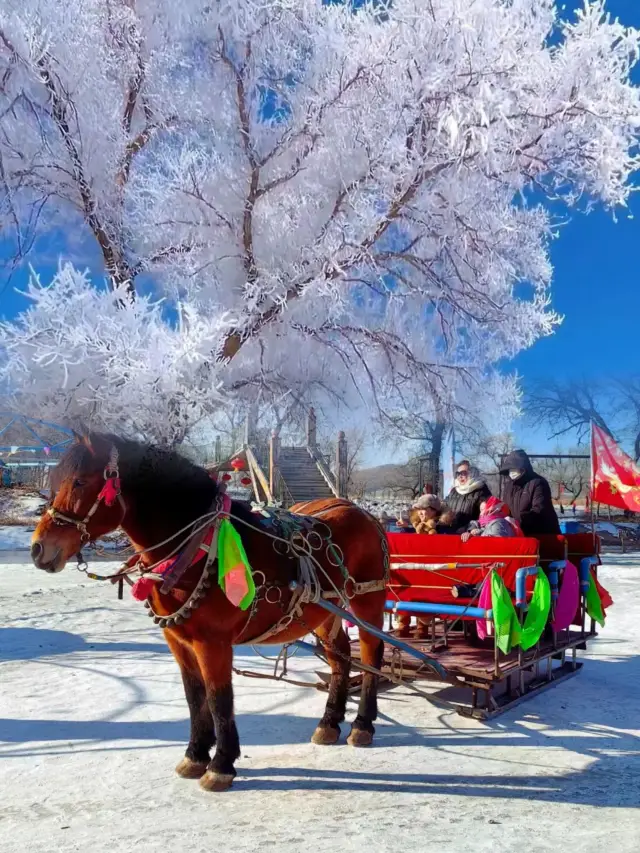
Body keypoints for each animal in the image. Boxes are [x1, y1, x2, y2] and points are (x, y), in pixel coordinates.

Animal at [30, 432, 388, 792]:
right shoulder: (178, 641)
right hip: (324, 610)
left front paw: (221, 765)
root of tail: (359, 511)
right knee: (340, 656)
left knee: (371, 652)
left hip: (367, 602)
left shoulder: (213, 643)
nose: (38, 549)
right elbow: (194, 696)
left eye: (79, 481)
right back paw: (329, 722)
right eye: (55, 481)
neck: (199, 545)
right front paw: (195, 755)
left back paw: (362, 724)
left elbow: (219, 699)